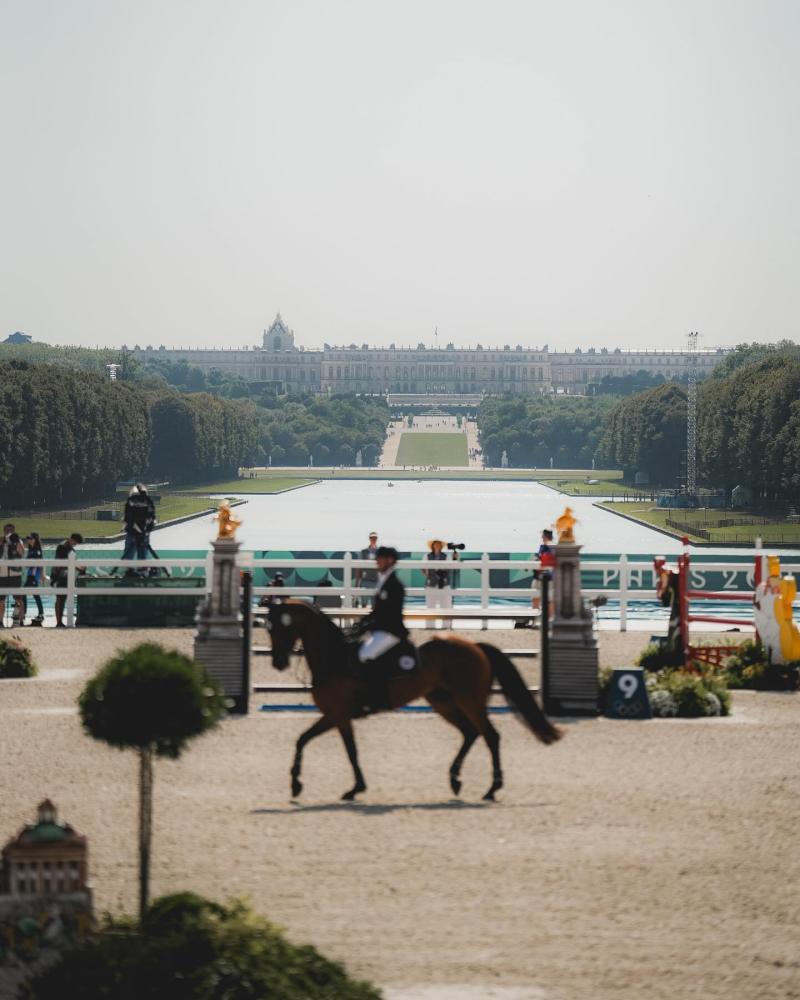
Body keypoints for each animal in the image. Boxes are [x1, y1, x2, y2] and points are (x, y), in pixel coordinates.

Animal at [266, 596, 560, 800]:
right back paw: (455, 780)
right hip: (442, 702)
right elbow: (343, 749)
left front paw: (297, 783)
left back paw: (491, 788)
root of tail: (475, 646)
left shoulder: (336, 715)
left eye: (279, 628)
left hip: (469, 700)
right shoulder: (340, 718)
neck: (335, 658)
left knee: (490, 735)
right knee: (470, 733)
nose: (278, 663)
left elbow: (309, 741)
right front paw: (355, 787)